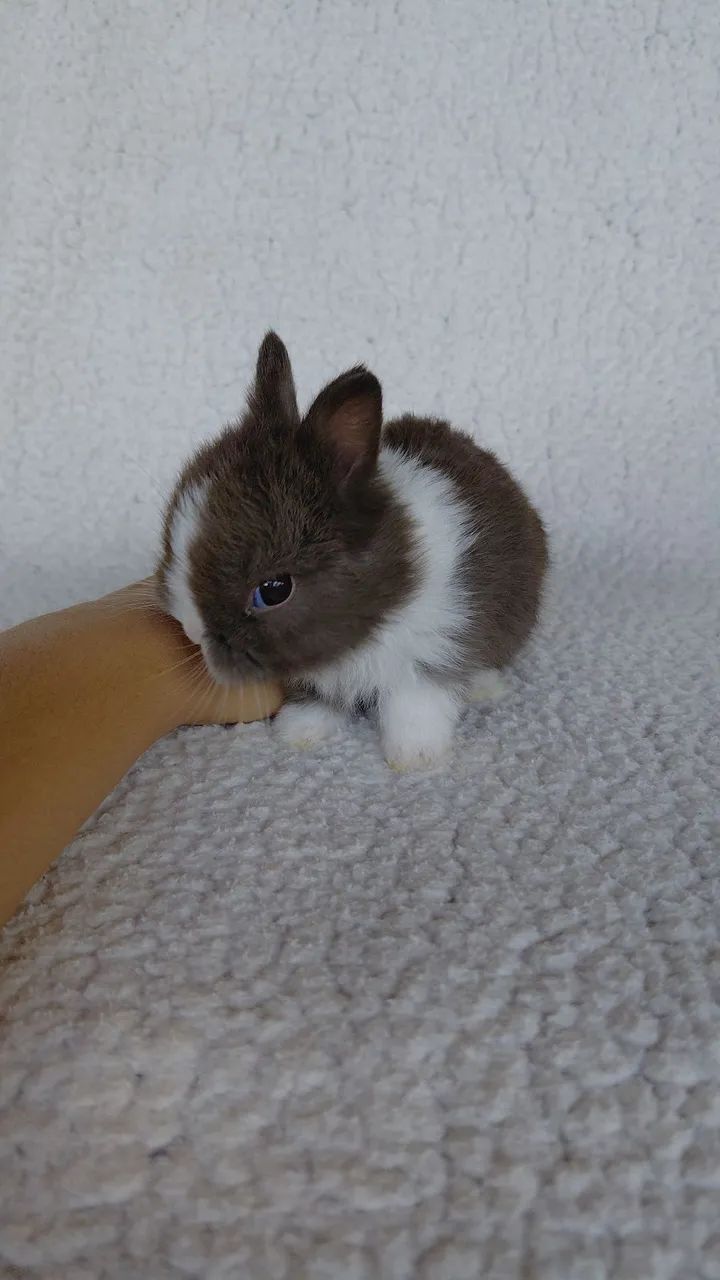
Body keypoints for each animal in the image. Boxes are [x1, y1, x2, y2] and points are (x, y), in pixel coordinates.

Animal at [157, 332, 548, 769]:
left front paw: (415, 759)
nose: (191, 630)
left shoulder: (428, 656)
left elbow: (415, 709)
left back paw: (484, 687)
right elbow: (316, 700)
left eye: (273, 591)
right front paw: (298, 735)